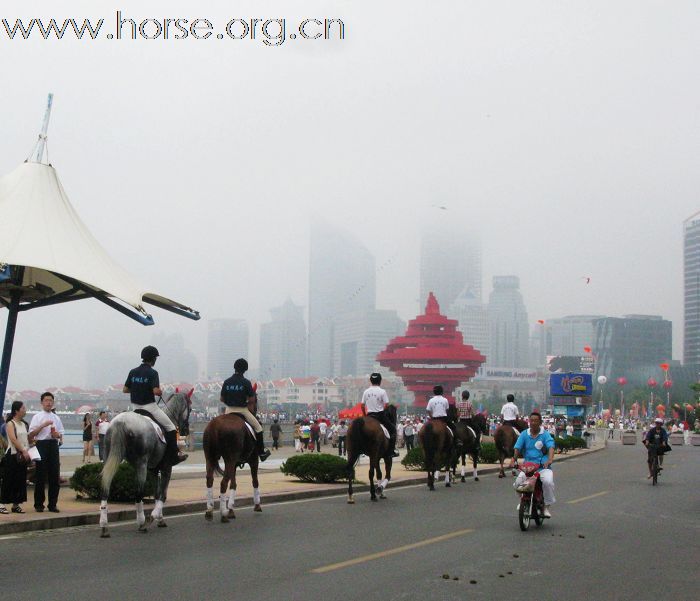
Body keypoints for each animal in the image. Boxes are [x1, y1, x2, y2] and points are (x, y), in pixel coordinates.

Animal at [99, 392, 191, 536]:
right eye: (190, 409)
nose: (186, 430)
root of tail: (121, 422)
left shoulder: (153, 470)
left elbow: (157, 494)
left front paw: (160, 519)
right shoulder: (166, 468)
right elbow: (162, 495)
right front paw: (155, 517)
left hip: (110, 458)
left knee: (105, 489)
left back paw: (104, 525)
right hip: (141, 464)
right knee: (138, 493)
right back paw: (142, 522)